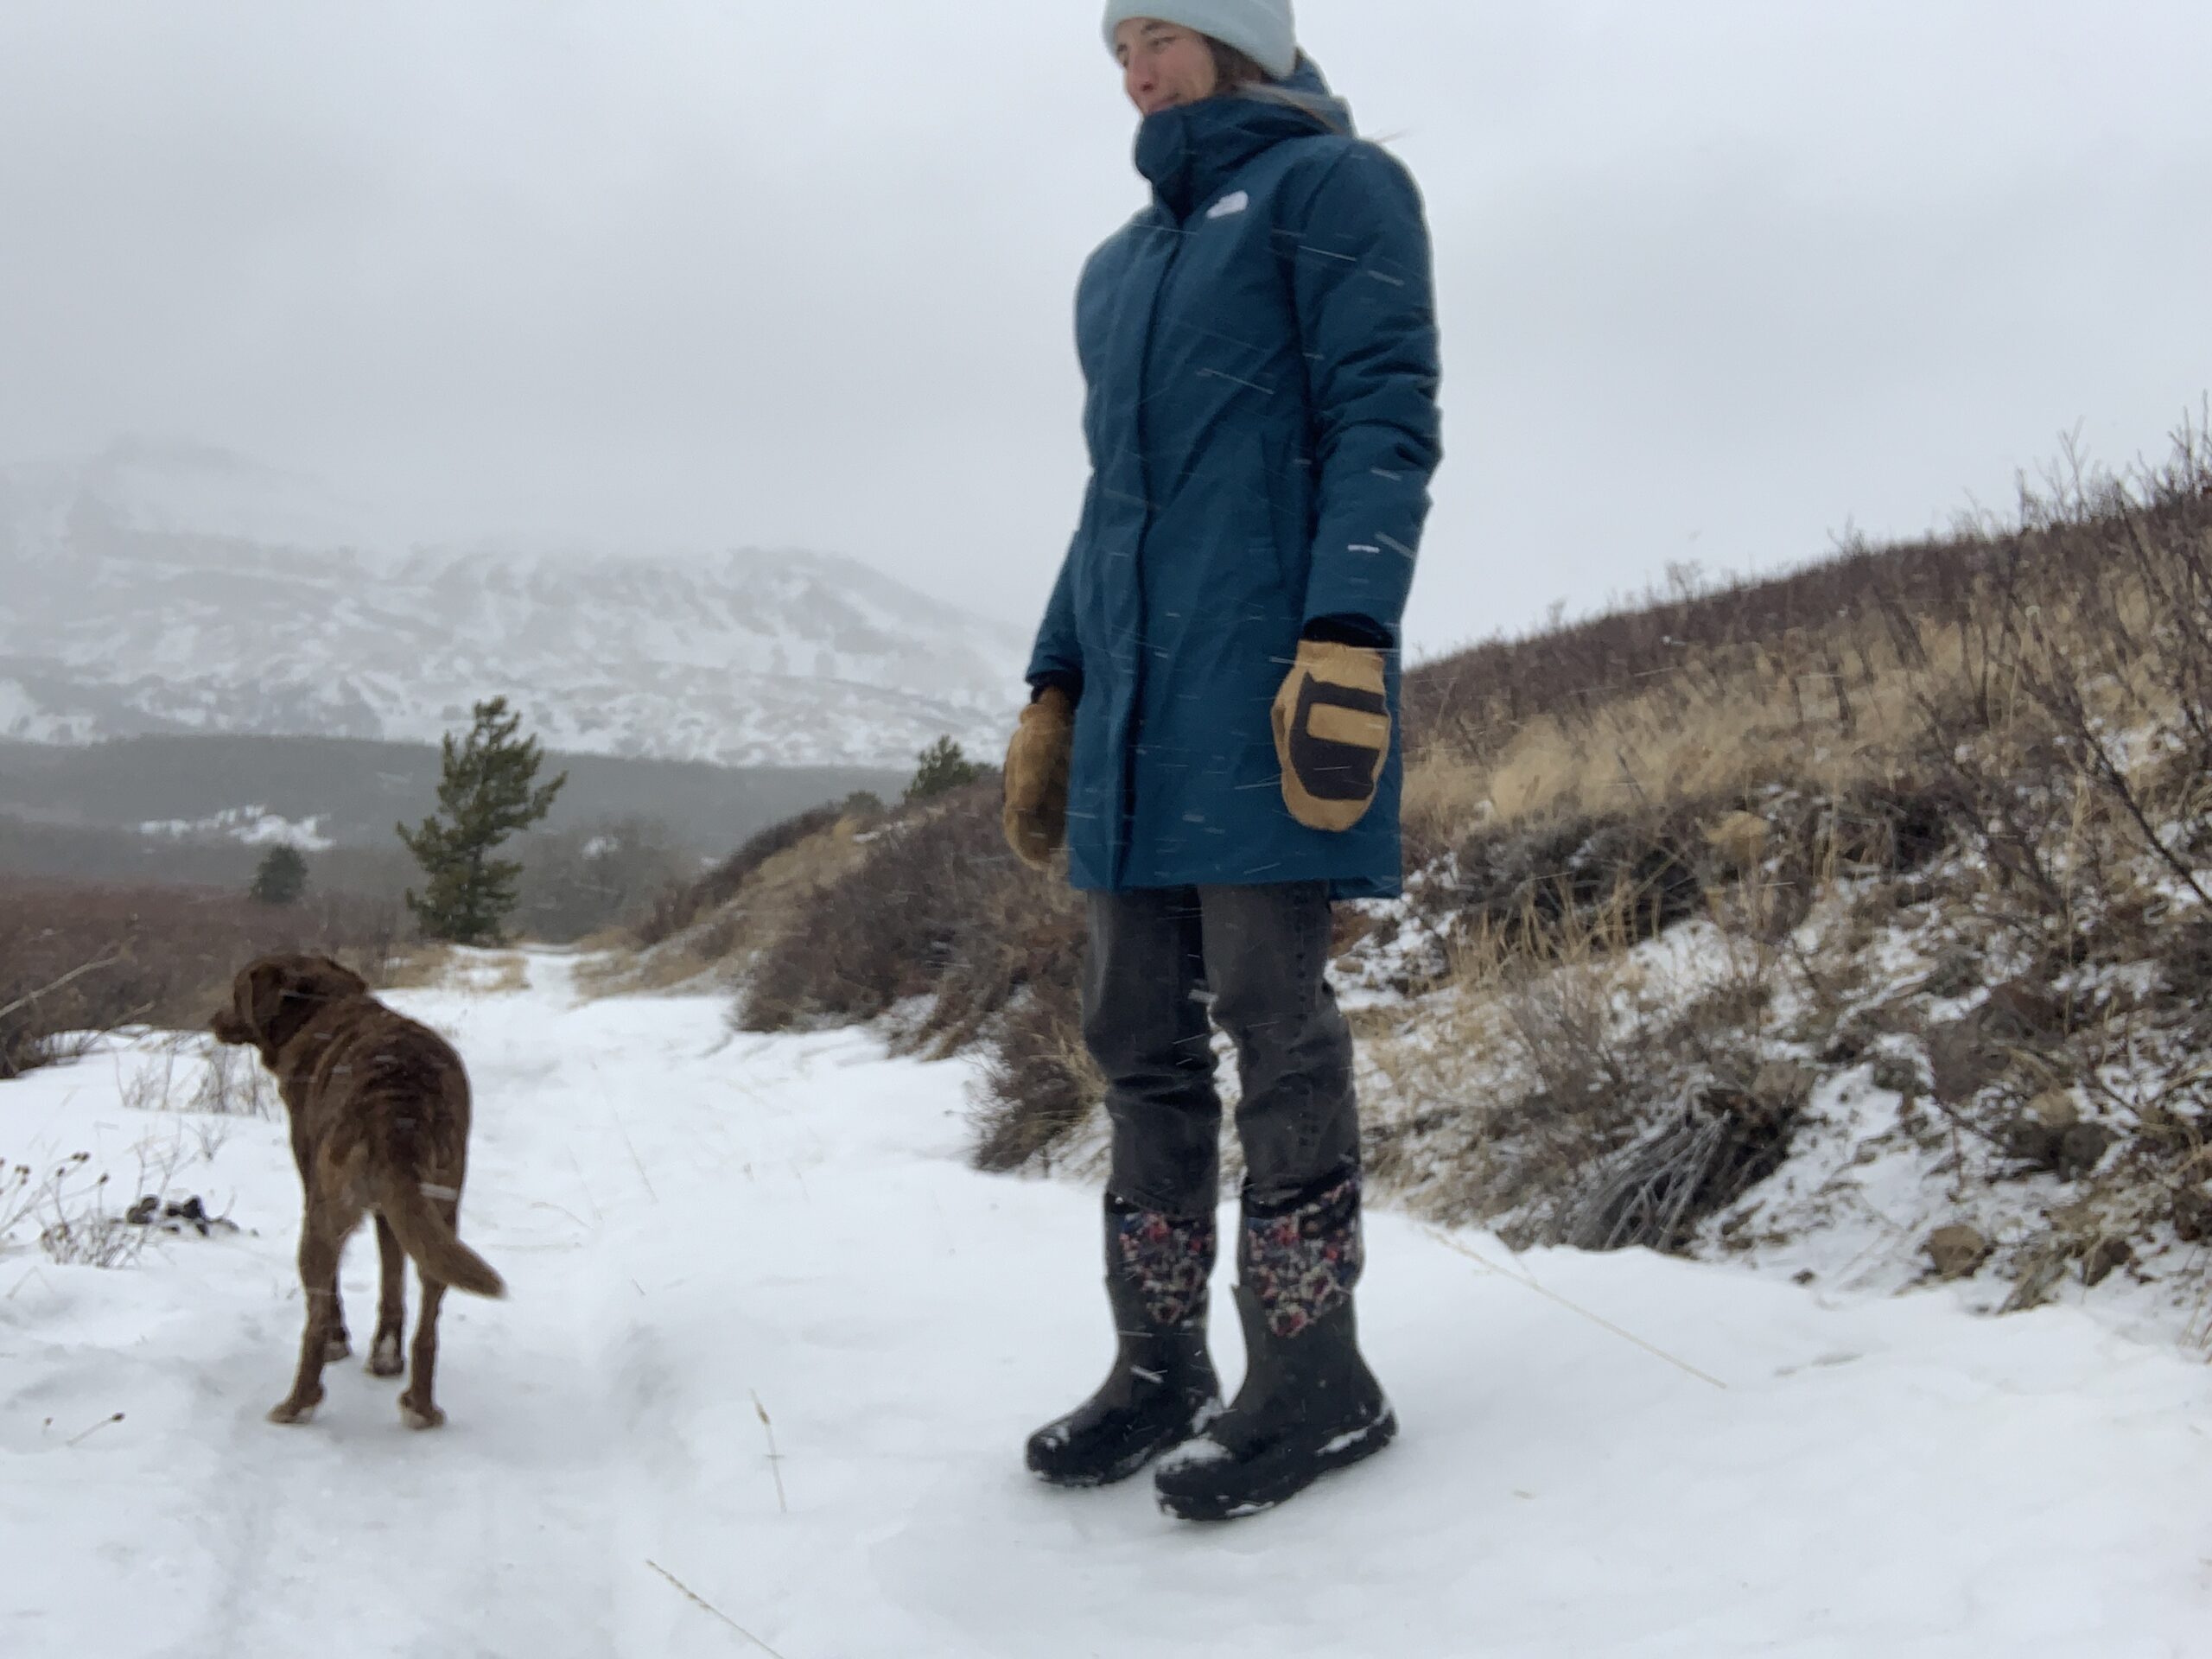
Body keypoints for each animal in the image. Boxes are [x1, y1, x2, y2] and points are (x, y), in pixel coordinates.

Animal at [212, 960, 506, 1433]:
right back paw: (421, 1406)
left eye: (238, 992)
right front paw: (386, 1357)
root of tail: (398, 1096)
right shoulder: (393, 1209)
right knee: (429, 1313)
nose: (213, 1019)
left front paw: (343, 1344)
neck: (317, 1012)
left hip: (325, 1214)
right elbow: (392, 1280)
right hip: (441, 1207)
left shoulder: (314, 1187)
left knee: (315, 1317)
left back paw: (297, 1403)